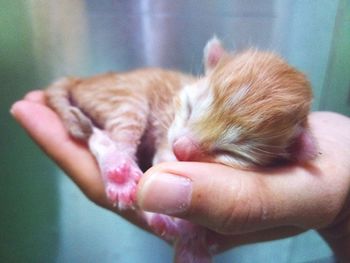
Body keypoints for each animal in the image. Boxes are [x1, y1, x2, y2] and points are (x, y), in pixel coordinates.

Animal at [45, 37, 316, 263]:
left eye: (231, 154)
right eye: (189, 108)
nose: (181, 148)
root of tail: (81, 80)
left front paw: (192, 241)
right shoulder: (166, 143)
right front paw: (188, 236)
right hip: (127, 99)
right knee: (110, 138)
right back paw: (119, 172)